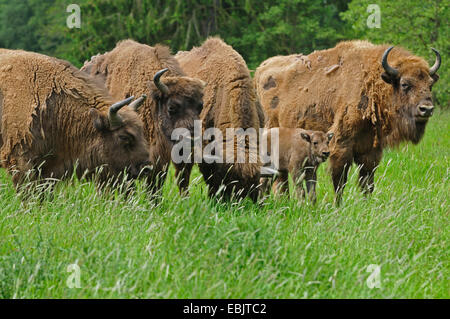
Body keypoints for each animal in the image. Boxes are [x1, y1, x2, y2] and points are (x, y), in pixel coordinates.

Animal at [255, 40, 442, 202]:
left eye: (430, 84)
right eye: (405, 84)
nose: (426, 109)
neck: (372, 82)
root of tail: (261, 70)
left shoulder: (370, 151)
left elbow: (367, 183)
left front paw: (367, 204)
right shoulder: (341, 146)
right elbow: (339, 181)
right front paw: (338, 205)